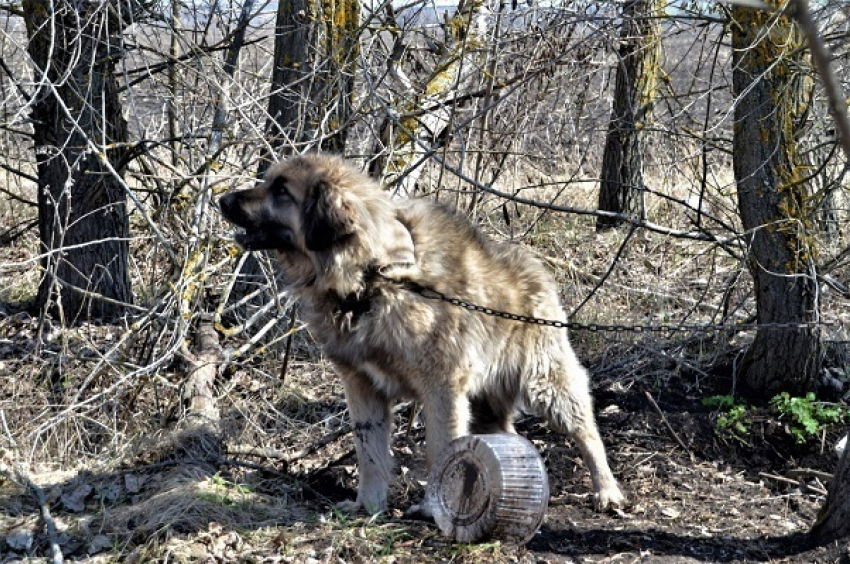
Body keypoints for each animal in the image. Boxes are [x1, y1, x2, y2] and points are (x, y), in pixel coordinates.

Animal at [219, 154, 624, 516]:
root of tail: (536, 268)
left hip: (547, 384)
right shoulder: (361, 387)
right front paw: (368, 506)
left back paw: (607, 491)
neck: (372, 278)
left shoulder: (441, 386)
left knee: (587, 433)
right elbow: (368, 452)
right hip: (487, 401)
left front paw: (432, 508)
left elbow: (439, 449)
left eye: (281, 190)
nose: (222, 199)